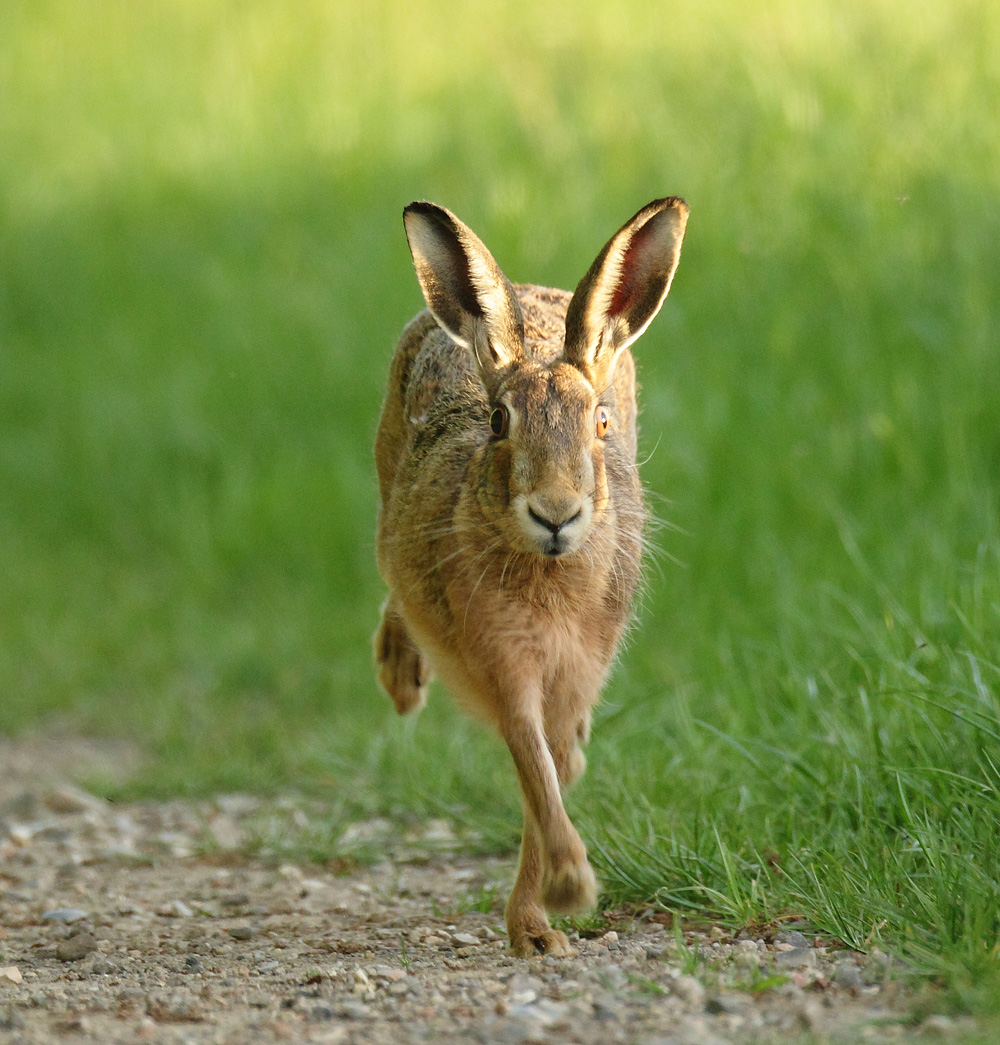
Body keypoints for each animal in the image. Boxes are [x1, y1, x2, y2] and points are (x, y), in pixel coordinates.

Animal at [374, 197, 688, 957]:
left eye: (600, 423)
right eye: (497, 421)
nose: (556, 513)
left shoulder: (582, 668)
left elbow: (550, 771)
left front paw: (539, 921)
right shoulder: (502, 659)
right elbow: (531, 759)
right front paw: (569, 887)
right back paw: (401, 675)